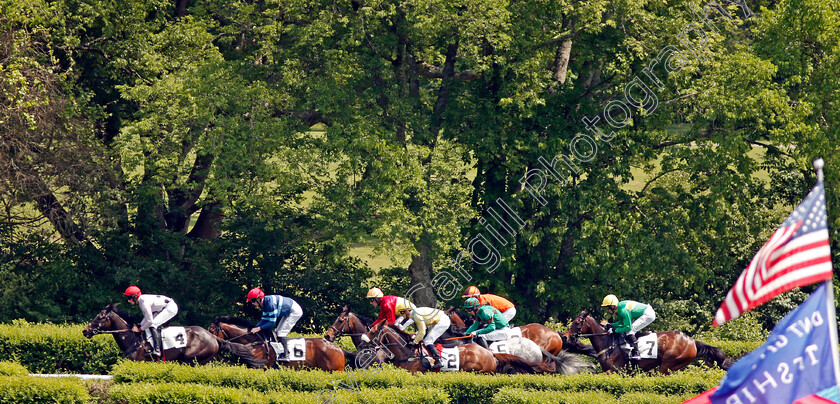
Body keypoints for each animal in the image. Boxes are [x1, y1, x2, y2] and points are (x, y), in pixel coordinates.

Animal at [568, 310, 732, 374]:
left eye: (577, 322)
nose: (567, 336)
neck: (609, 344)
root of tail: (692, 341)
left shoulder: (614, 371)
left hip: (668, 364)